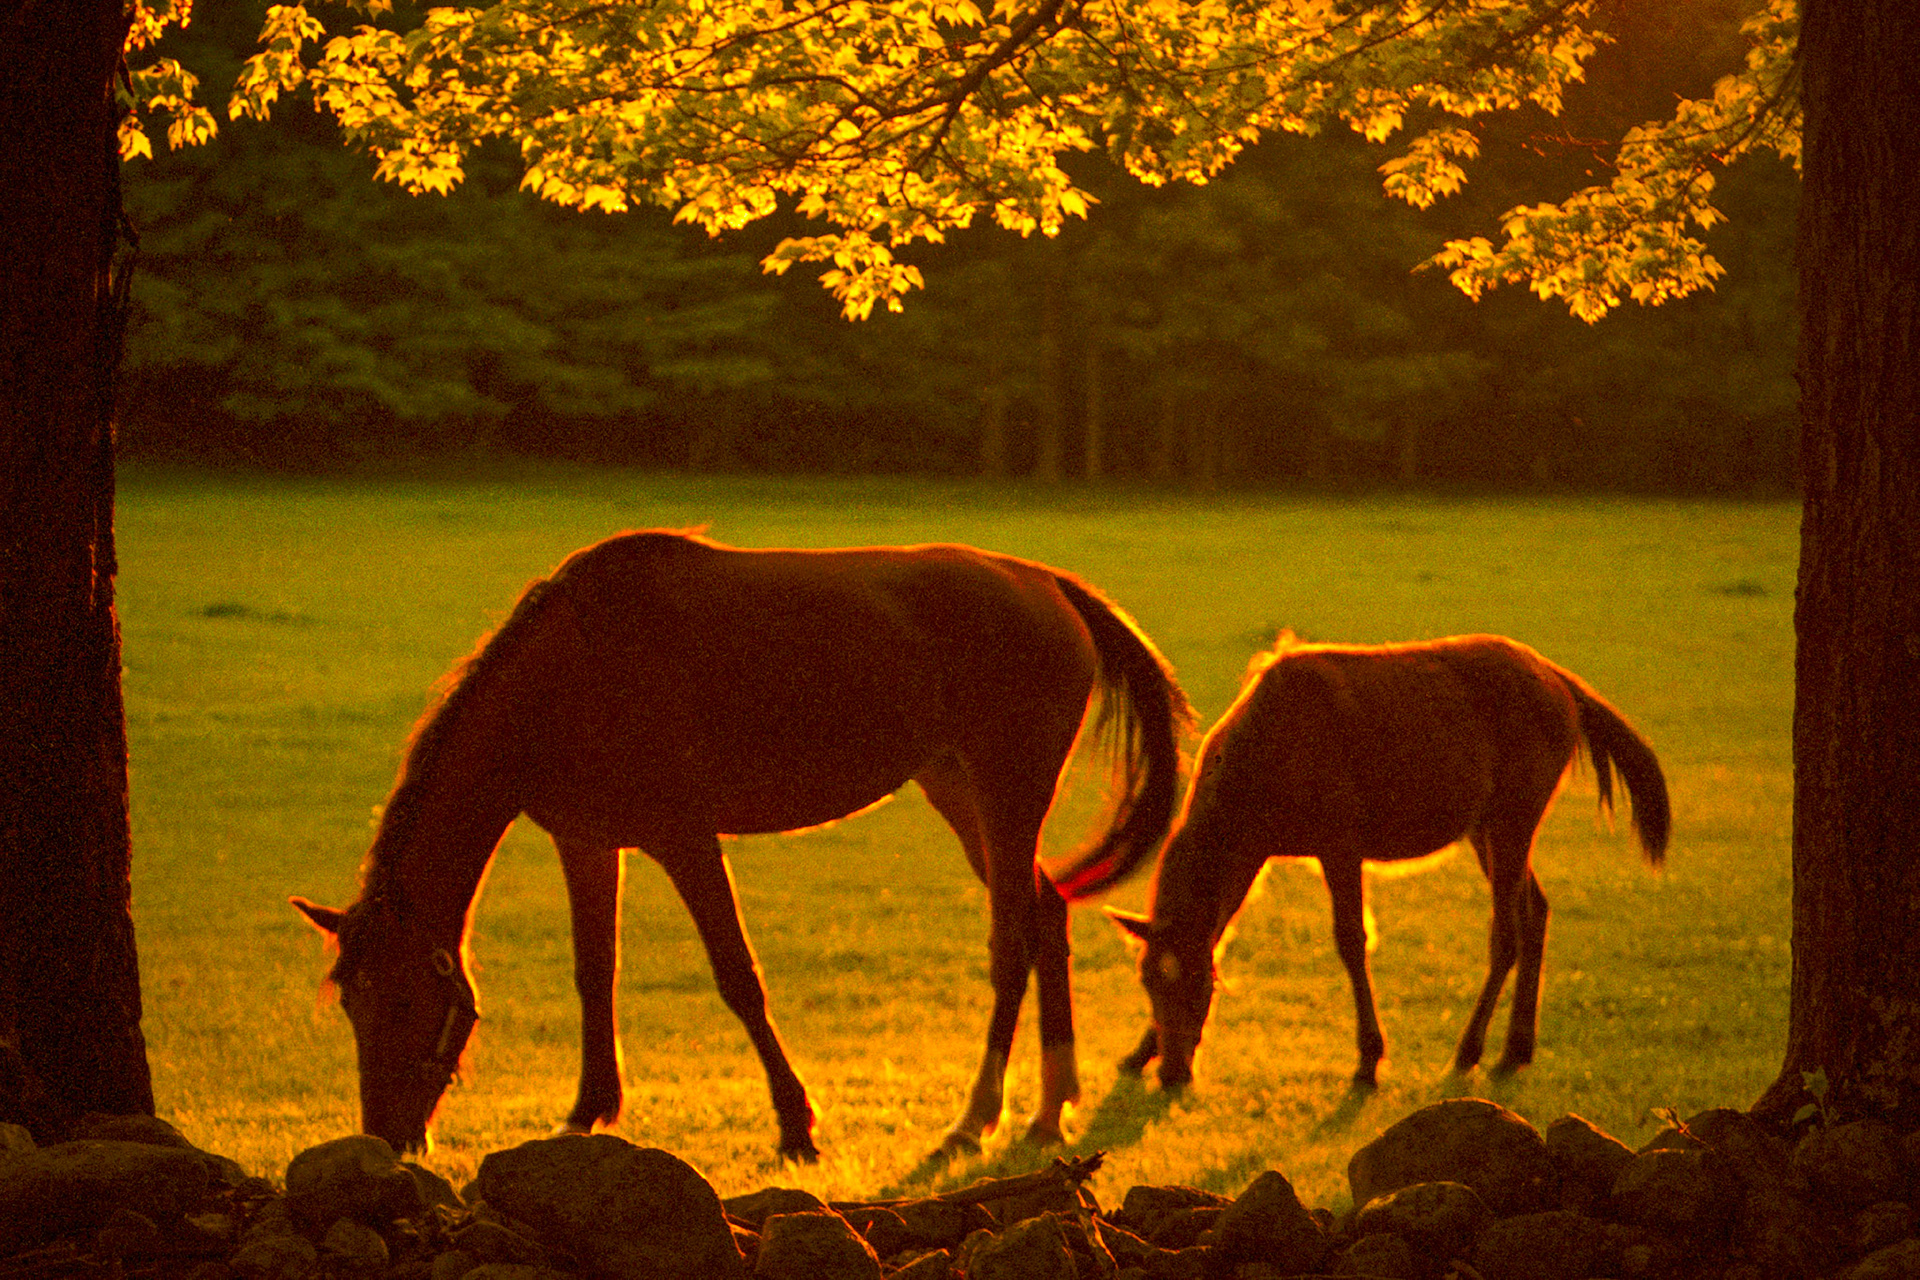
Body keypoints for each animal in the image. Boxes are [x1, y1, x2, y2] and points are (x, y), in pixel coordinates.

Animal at [291, 529, 1193, 1159]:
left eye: (401, 1001)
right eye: (350, 1004)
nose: (386, 1137)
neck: (570, 674)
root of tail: (1046, 583)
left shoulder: (685, 839)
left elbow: (738, 978)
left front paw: (797, 1125)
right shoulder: (588, 844)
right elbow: (594, 973)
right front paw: (589, 1109)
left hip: (1008, 792)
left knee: (1012, 941)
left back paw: (977, 1117)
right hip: (958, 792)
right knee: (1046, 910)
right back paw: (1050, 1104)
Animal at [1109, 632, 1668, 1090]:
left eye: (1202, 983)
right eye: (1146, 980)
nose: (1174, 1071)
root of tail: (1563, 685)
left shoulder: (1339, 841)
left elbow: (1352, 940)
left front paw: (1368, 1060)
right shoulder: (1259, 854)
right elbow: (1218, 929)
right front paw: (1136, 1054)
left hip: (1516, 812)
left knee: (1506, 930)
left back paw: (1470, 1050)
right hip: (1485, 824)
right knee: (1536, 910)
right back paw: (1516, 1047)